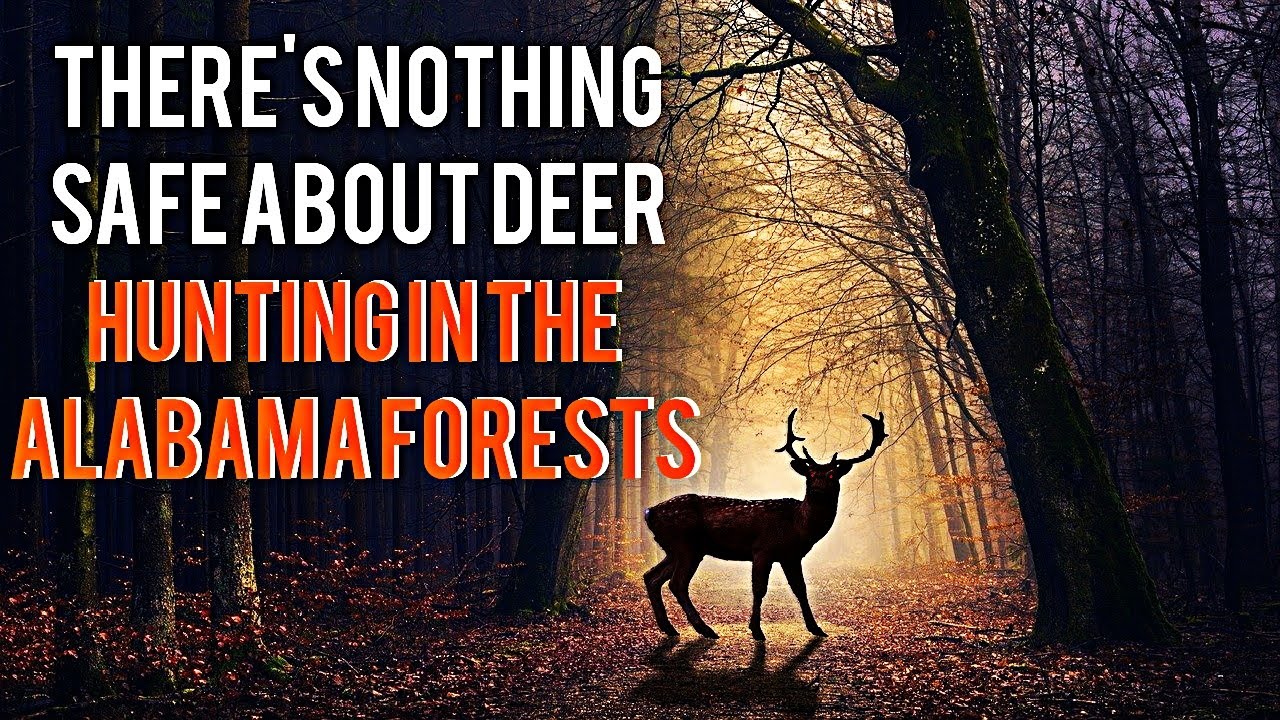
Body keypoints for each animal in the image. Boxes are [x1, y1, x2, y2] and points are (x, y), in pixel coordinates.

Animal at [643, 408, 887, 641]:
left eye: (832, 476)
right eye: (809, 475)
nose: (817, 491)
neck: (798, 526)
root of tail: (649, 512)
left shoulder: (791, 556)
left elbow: (801, 589)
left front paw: (816, 628)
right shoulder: (763, 549)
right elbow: (759, 589)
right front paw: (756, 630)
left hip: (675, 549)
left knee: (652, 577)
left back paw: (669, 628)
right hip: (687, 546)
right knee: (677, 583)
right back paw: (705, 629)